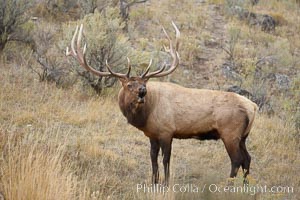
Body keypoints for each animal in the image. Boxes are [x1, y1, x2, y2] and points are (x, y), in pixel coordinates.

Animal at [65, 23, 258, 184]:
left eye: (145, 82)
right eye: (129, 85)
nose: (142, 91)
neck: (146, 116)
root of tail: (253, 107)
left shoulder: (167, 131)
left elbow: (166, 159)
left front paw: (165, 183)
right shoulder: (152, 134)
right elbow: (153, 158)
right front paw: (154, 181)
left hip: (230, 132)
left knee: (237, 160)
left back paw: (229, 185)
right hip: (243, 136)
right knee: (247, 158)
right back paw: (245, 185)